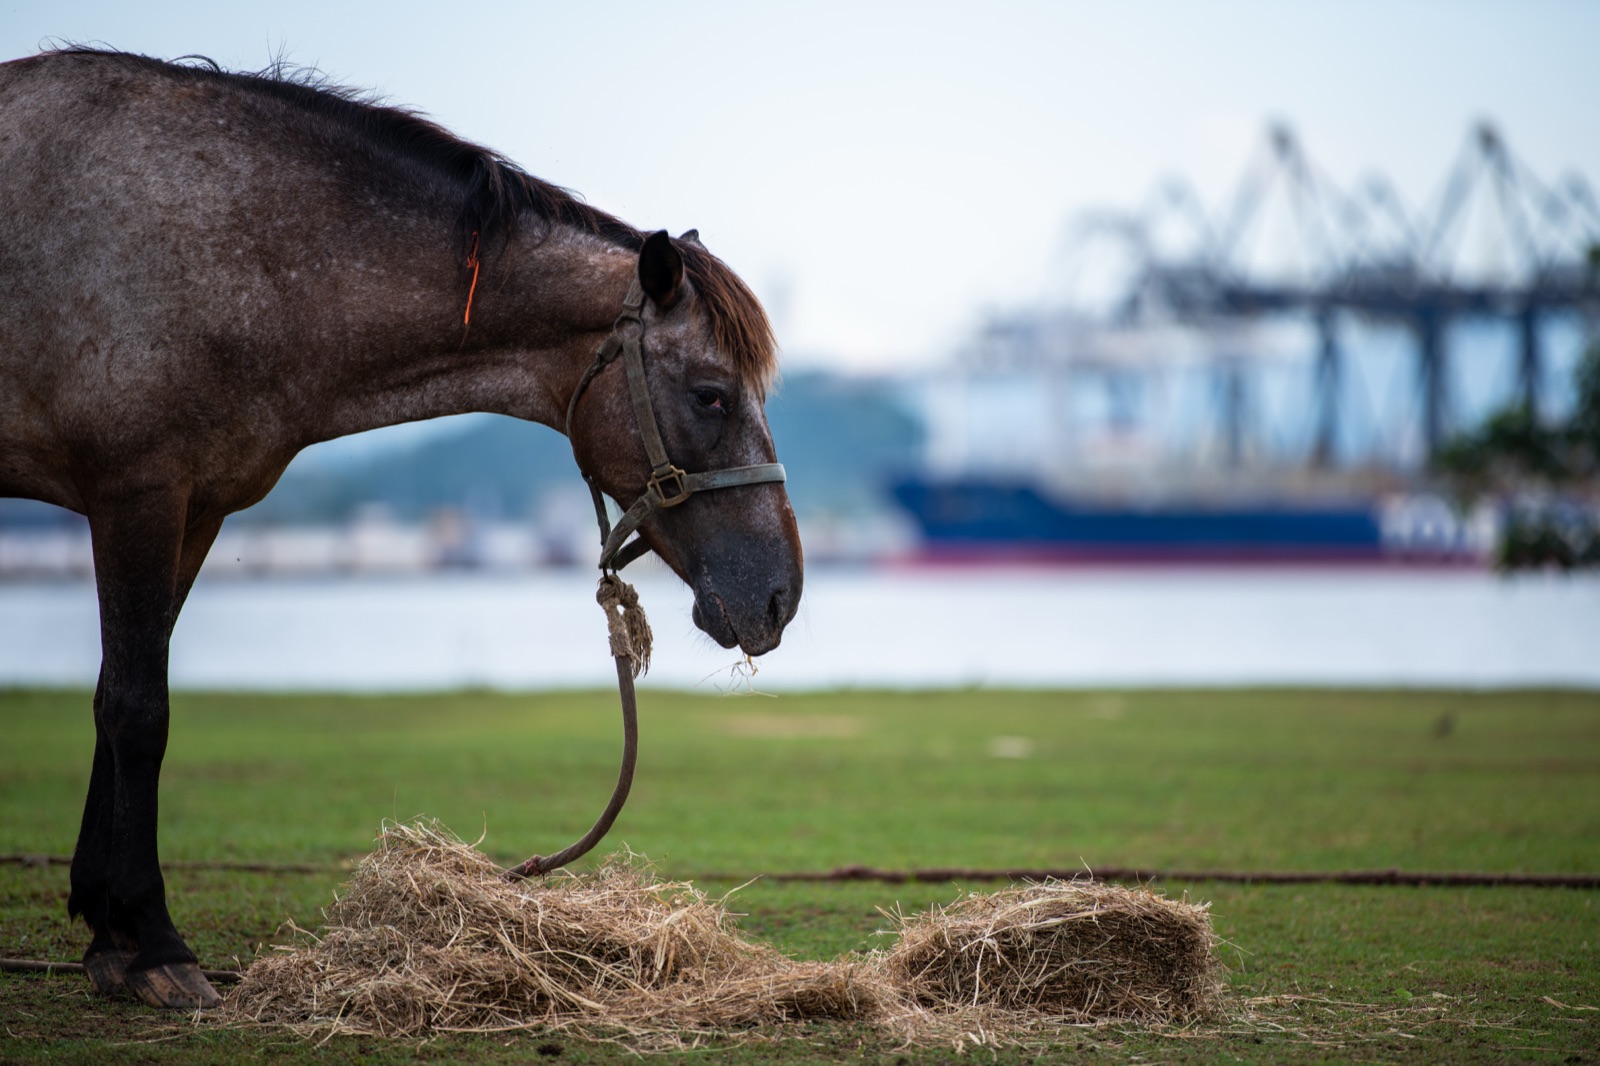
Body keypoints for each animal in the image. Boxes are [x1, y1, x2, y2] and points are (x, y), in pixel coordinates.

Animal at [0, 49, 803, 1009]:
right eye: (712, 396)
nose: (780, 596)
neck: (239, 255)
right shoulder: (137, 493)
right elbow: (137, 710)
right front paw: (154, 944)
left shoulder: (195, 507)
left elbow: (110, 699)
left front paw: (110, 933)